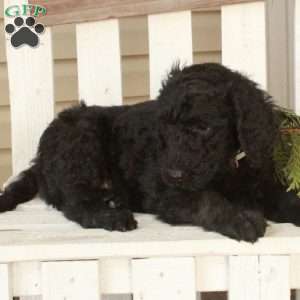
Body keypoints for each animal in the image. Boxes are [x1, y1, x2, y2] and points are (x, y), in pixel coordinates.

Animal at [1, 63, 298, 241]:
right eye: (165, 126)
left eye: (203, 128)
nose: (174, 174)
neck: (226, 168)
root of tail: (39, 162)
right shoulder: (170, 194)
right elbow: (208, 200)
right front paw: (239, 219)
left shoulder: (258, 182)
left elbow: (282, 197)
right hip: (80, 143)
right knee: (75, 202)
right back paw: (111, 215)